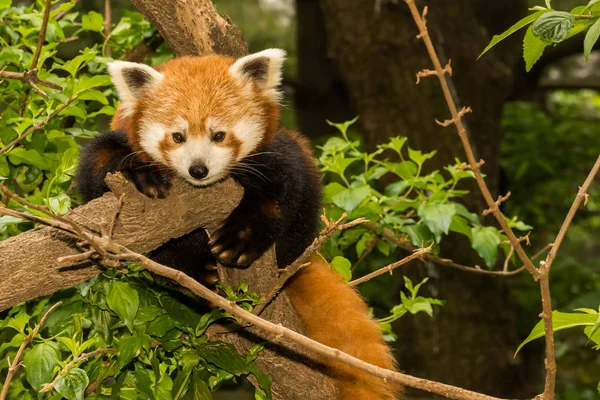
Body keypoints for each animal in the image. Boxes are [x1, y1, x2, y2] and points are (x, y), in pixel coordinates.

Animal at [77, 48, 400, 398]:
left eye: (219, 135)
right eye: (177, 136)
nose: (198, 169)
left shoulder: (278, 155)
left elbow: (280, 192)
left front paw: (239, 240)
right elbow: (97, 165)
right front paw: (141, 174)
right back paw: (197, 271)